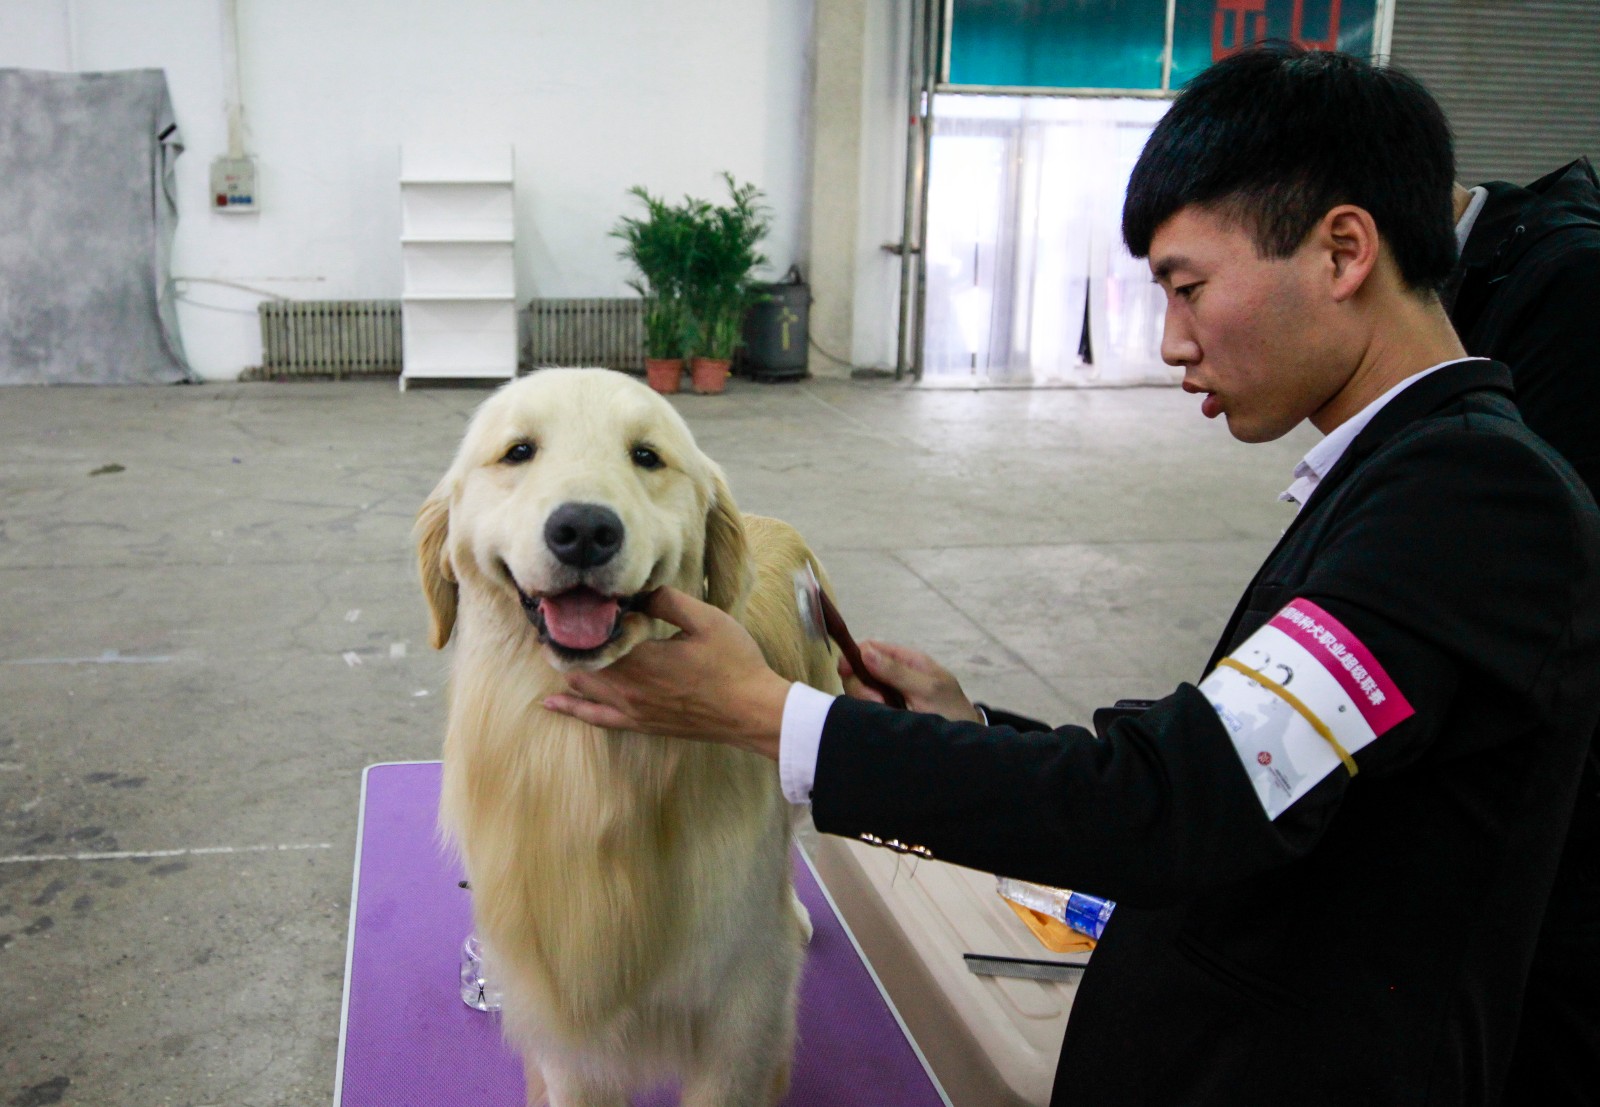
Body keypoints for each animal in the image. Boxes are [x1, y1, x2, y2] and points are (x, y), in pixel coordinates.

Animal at [412, 367, 844, 1100]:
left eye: (646, 455)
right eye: (519, 451)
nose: (584, 529)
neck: (592, 765)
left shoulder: (743, 1018)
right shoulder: (570, 1035)